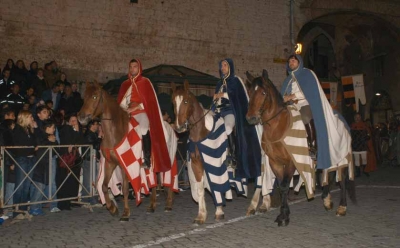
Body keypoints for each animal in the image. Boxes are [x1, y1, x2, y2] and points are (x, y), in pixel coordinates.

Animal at [77, 81, 174, 221]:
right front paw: (112, 208)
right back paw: (152, 206)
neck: (115, 132)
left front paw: (125, 213)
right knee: (154, 182)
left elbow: (125, 188)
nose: (81, 117)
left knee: (170, 179)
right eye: (84, 97)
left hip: (168, 159)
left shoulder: (125, 165)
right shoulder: (110, 163)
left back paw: (168, 204)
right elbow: (104, 186)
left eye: (95, 96)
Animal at [170, 80, 270, 224]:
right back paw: (265, 204)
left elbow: (217, 186)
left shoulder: (216, 162)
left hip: (260, 159)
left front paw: (219, 211)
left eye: (185, 101)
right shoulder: (196, 164)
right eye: (173, 102)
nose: (179, 127)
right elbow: (201, 189)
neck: (203, 131)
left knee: (261, 180)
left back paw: (253, 206)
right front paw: (201, 215)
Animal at [247, 70, 356, 227]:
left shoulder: (291, 161)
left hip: (342, 157)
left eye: (263, 92)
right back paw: (327, 200)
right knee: (328, 176)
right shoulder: (275, 162)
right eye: (250, 92)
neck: (278, 126)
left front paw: (284, 216)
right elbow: (281, 186)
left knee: (342, 180)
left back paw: (341, 207)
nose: (251, 118)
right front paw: (283, 214)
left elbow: (285, 185)